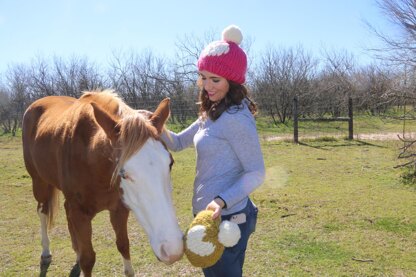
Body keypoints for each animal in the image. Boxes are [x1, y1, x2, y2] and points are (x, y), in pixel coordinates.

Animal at [22, 89, 183, 274]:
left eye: (170, 163)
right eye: (123, 173)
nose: (173, 249)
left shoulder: (119, 209)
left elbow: (123, 245)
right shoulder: (80, 214)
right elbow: (88, 259)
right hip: (39, 182)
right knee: (42, 211)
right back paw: (46, 252)